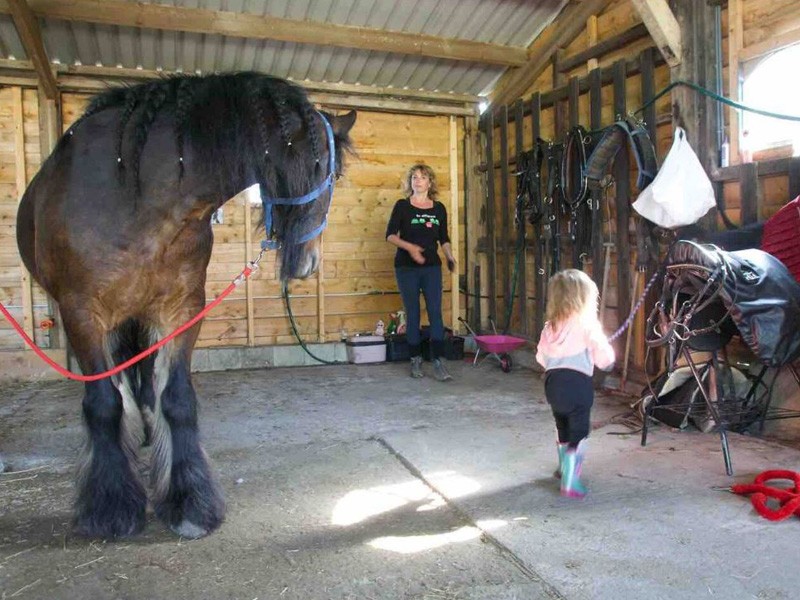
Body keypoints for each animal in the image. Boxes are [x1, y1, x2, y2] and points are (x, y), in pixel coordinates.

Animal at [15, 72, 356, 539]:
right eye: (327, 170)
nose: (310, 262)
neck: (135, 198)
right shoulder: (81, 314)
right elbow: (103, 404)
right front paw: (110, 509)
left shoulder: (180, 309)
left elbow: (175, 399)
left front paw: (190, 502)